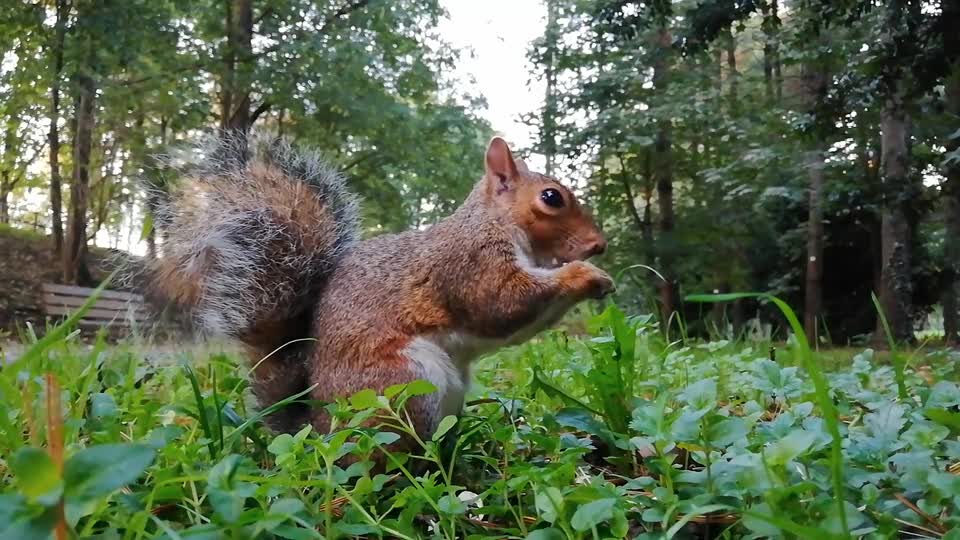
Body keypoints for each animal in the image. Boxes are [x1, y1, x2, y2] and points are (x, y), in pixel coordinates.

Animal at [150, 133, 616, 450]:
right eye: (551, 197)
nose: (599, 245)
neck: (495, 224)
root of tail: (319, 431)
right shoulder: (471, 266)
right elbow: (502, 304)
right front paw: (585, 275)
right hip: (402, 387)